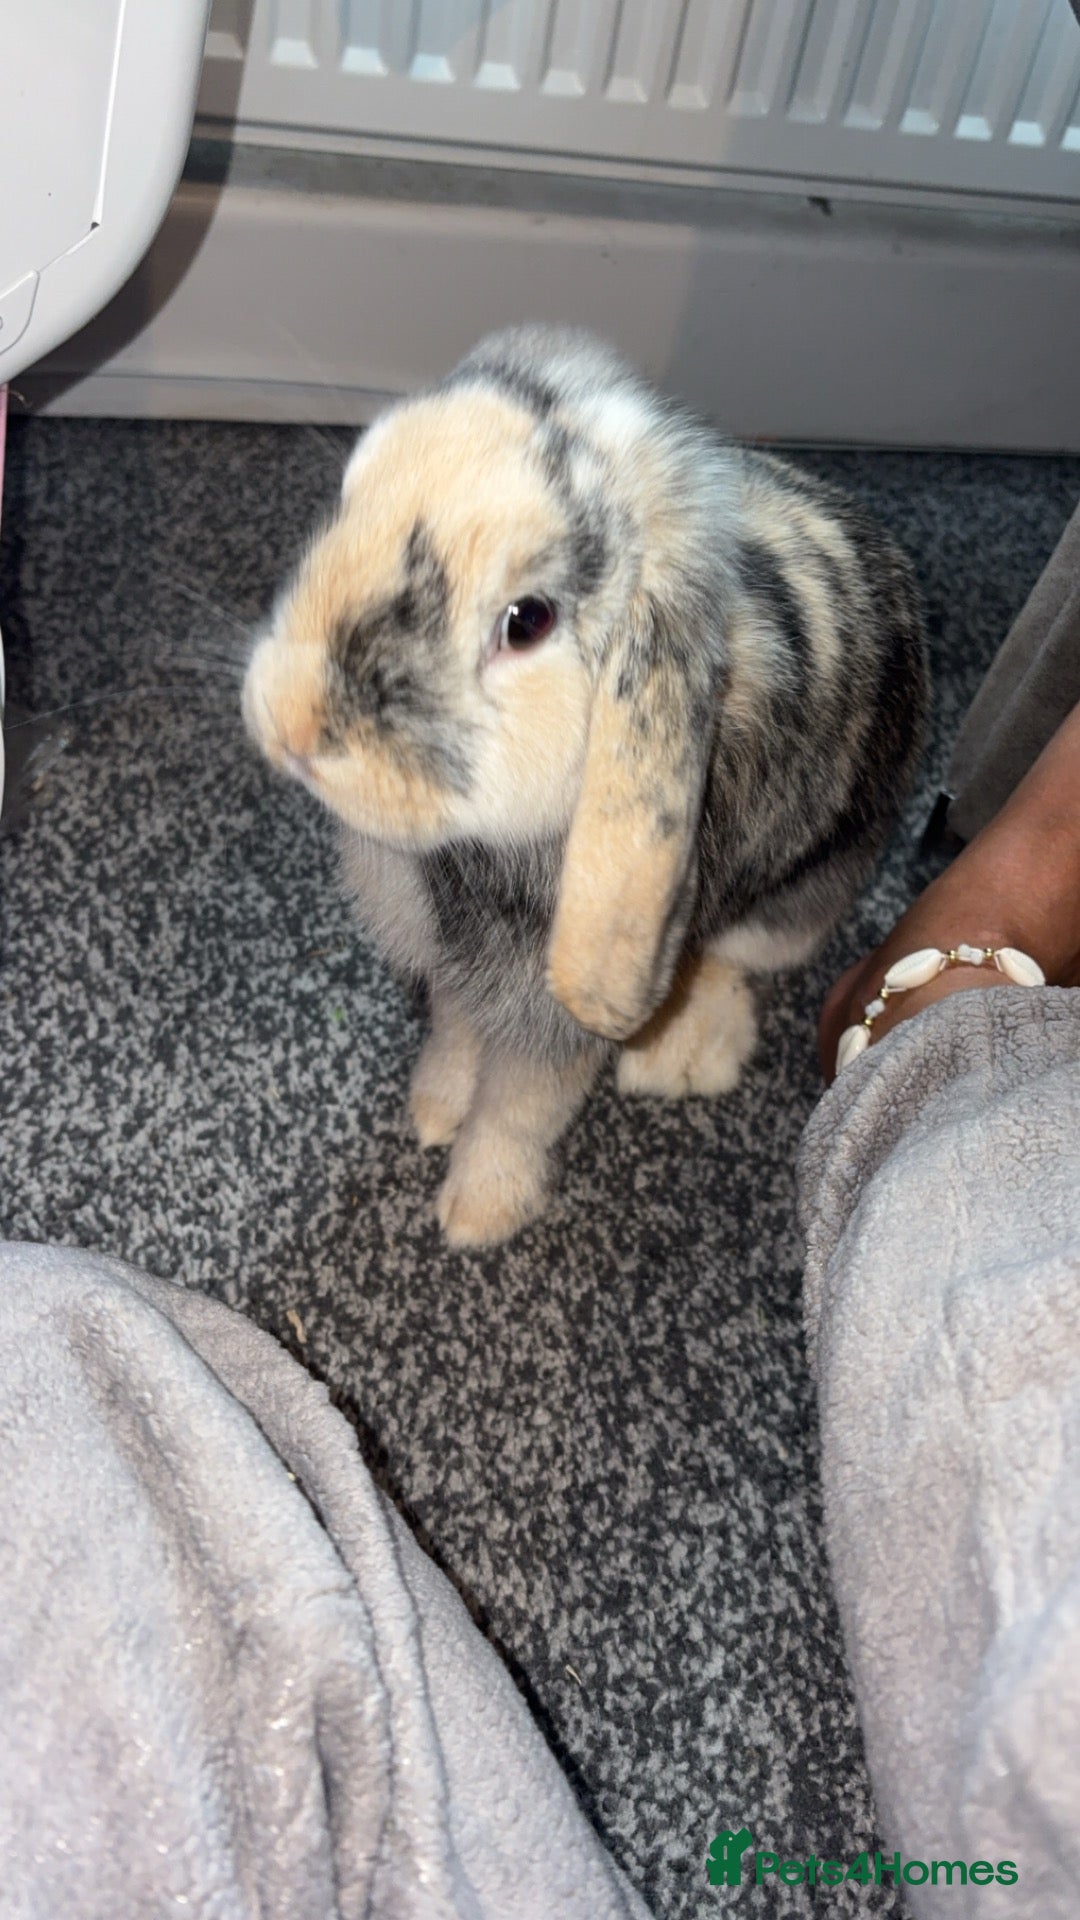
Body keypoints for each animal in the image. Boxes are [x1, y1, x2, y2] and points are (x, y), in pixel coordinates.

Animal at [244, 325, 928, 1247]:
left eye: (527, 621)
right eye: (351, 495)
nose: (293, 725)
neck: (462, 863)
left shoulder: (548, 1016)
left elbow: (519, 1110)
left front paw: (475, 1215)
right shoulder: (464, 977)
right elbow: (456, 1042)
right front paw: (432, 1113)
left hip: (791, 902)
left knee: (734, 960)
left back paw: (676, 1052)